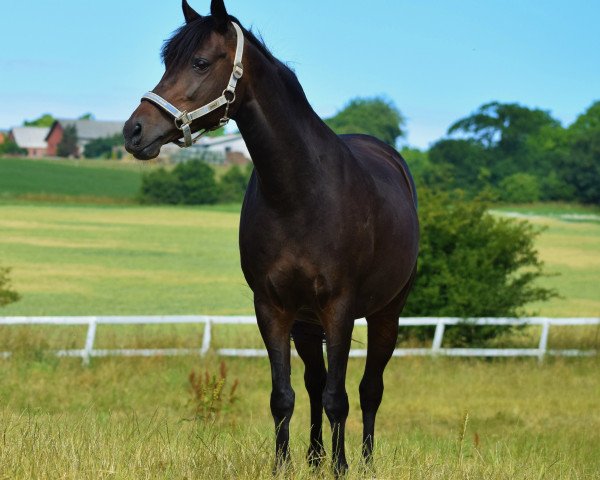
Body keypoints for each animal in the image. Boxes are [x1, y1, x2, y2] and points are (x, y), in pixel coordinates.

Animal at [124, 0, 420, 472]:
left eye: (200, 62)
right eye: (166, 62)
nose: (134, 131)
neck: (300, 194)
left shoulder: (340, 309)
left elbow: (339, 398)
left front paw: (341, 468)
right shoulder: (272, 308)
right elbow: (284, 396)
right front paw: (284, 465)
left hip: (386, 312)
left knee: (369, 389)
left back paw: (365, 462)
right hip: (307, 321)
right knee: (315, 382)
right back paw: (314, 457)